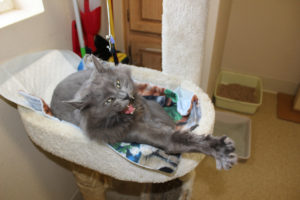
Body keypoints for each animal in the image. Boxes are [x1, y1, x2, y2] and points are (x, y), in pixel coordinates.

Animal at [51, 55, 237, 170]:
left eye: (117, 83)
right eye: (108, 101)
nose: (125, 96)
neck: (133, 114)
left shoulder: (150, 107)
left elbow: (168, 123)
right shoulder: (139, 133)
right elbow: (176, 138)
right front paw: (222, 151)